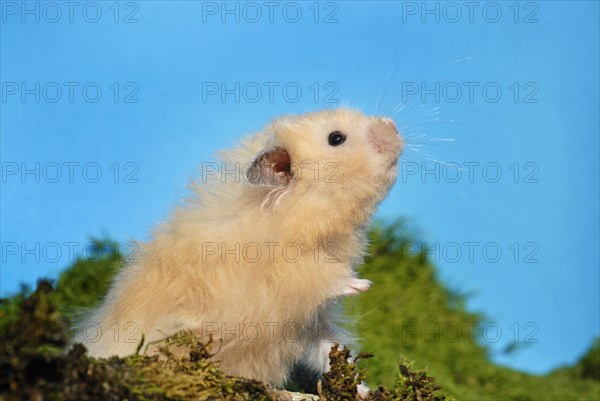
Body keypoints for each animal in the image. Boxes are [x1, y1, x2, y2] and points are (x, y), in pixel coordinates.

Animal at [75, 108, 404, 390]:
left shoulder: (307, 322)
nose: (393, 126)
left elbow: (331, 352)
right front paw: (362, 284)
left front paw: (365, 390)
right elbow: (326, 277)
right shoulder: (288, 277)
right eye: (336, 138)